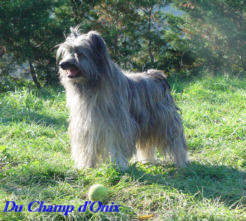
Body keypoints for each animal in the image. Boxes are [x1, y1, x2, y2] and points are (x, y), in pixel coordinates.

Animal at [57, 27, 188, 169]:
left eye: (79, 53)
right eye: (67, 52)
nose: (62, 64)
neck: (91, 85)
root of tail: (158, 76)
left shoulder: (117, 124)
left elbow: (116, 144)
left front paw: (119, 164)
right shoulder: (85, 125)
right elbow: (87, 146)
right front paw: (86, 165)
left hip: (165, 121)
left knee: (176, 140)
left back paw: (182, 161)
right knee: (147, 144)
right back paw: (147, 160)